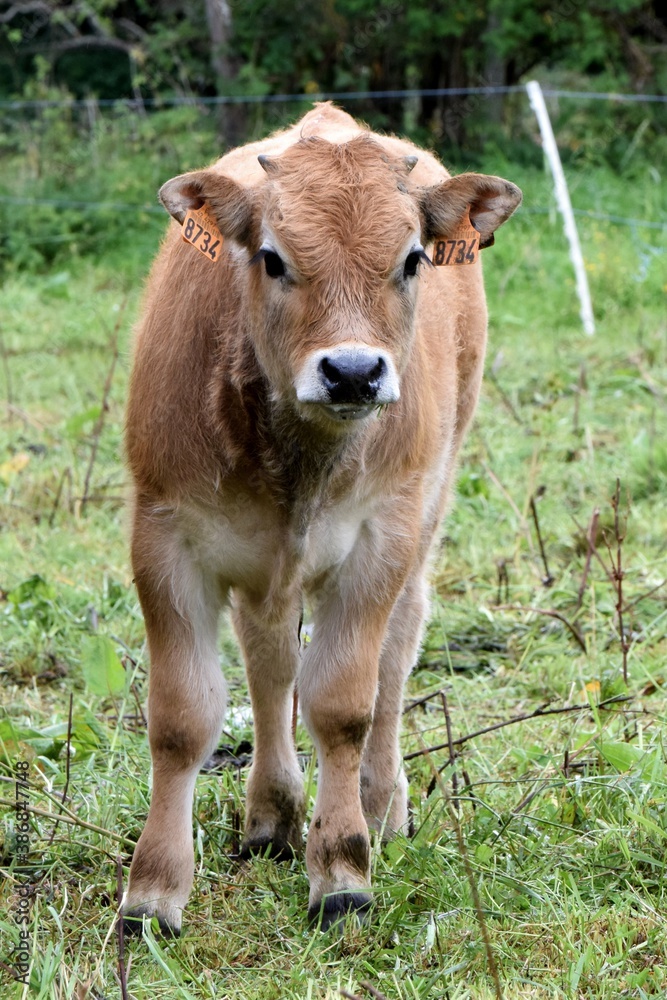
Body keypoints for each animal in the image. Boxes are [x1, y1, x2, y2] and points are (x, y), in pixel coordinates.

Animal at [124, 103, 520, 936]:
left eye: (411, 259)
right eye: (272, 258)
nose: (352, 372)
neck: (299, 458)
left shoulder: (380, 539)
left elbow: (341, 704)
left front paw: (341, 872)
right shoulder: (163, 535)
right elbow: (181, 718)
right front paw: (152, 894)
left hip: (427, 504)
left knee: (396, 647)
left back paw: (380, 804)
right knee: (271, 660)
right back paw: (272, 815)